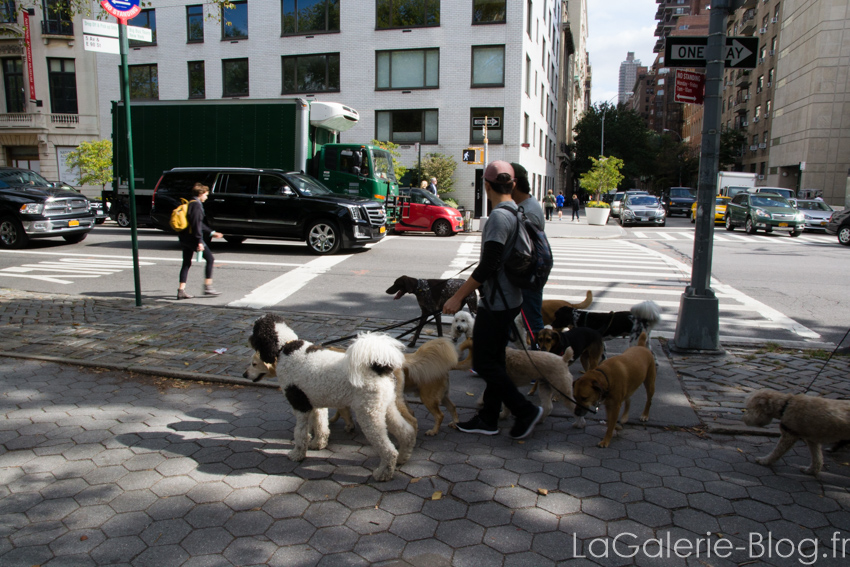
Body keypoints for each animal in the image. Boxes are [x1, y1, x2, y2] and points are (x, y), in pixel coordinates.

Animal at [243, 312, 416, 482]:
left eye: (255, 330)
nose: (244, 375)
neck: (286, 347)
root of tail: (378, 367)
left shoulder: (300, 405)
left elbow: (300, 433)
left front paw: (297, 454)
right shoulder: (315, 403)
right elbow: (321, 425)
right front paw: (318, 444)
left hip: (368, 414)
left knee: (388, 449)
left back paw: (384, 473)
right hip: (386, 408)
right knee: (406, 432)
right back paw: (402, 458)